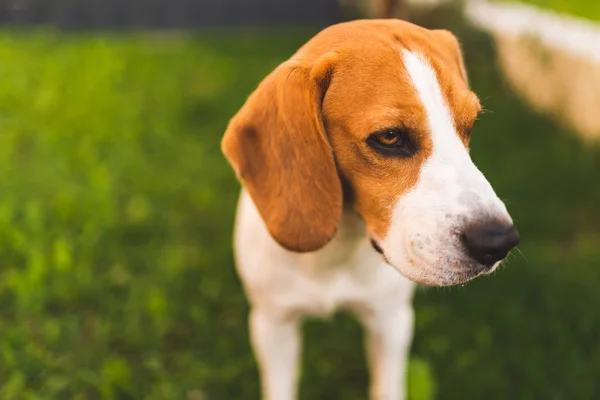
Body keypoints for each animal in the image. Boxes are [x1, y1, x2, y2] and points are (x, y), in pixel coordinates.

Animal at [220, 18, 520, 400]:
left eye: (470, 126)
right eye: (389, 137)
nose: (498, 241)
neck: (337, 248)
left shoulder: (390, 321)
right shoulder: (274, 325)